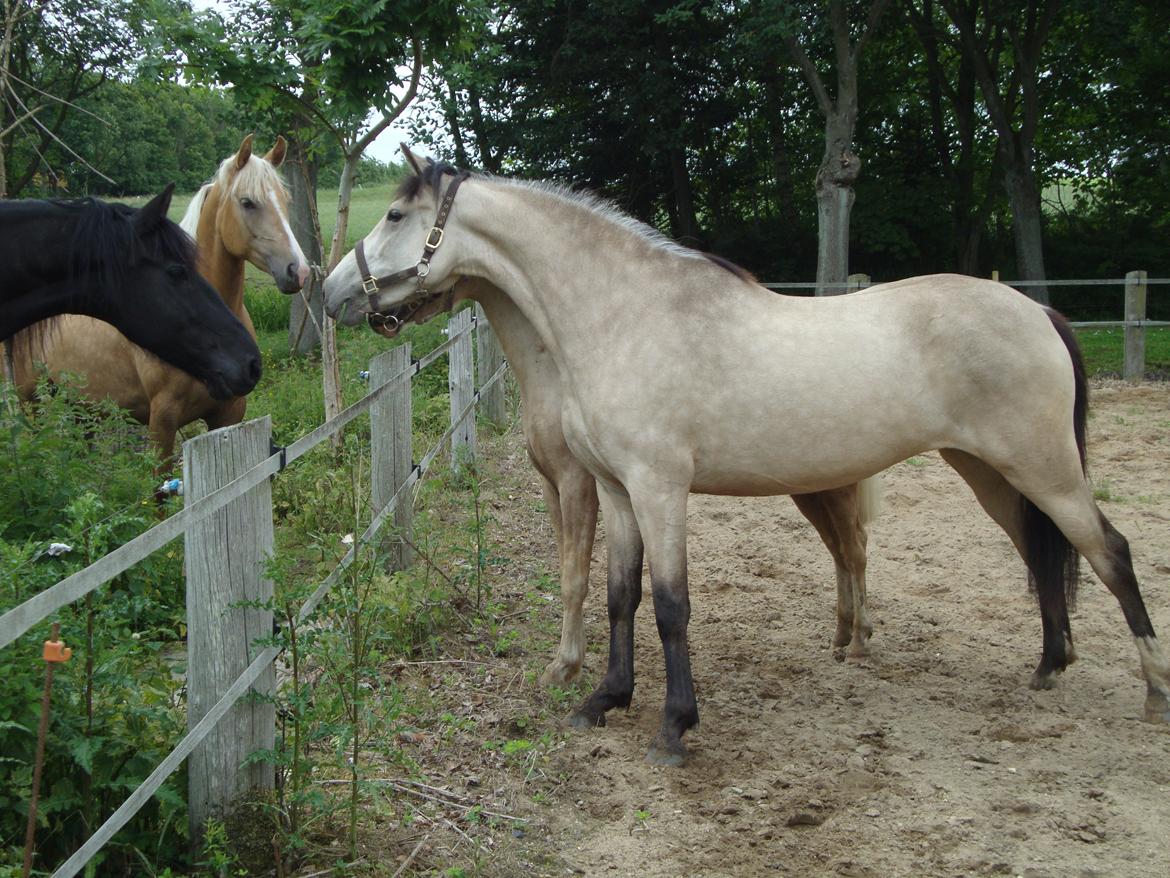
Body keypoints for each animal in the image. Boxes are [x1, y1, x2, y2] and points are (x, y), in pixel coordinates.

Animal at [322, 154, 1170, 767]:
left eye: (395, 215)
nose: (329, 295)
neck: (621, 315)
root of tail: (1038, 308)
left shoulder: (660, 488)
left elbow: (670, 605)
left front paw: (673, 728)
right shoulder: (619, 492)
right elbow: (619, 596)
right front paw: (604, 701)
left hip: (1044, 470)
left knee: (1111, 552)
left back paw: (1153, 691)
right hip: (994, 474)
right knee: (1040, 551)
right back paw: (1049, 668)